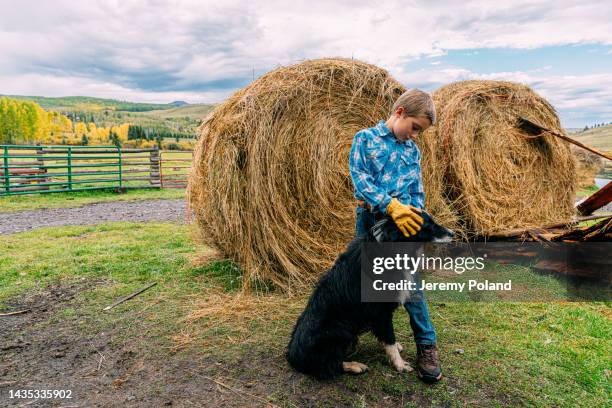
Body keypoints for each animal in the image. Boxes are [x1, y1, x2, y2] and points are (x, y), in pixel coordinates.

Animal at [284, 212, 452, 380]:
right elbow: (389, 337)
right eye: (428, 225)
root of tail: (292, 355)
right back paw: (355, 366)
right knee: (329, 365)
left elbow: (384, 335)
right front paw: (399, 364)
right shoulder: (381, 311)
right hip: (341, 328)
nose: (453, 233)